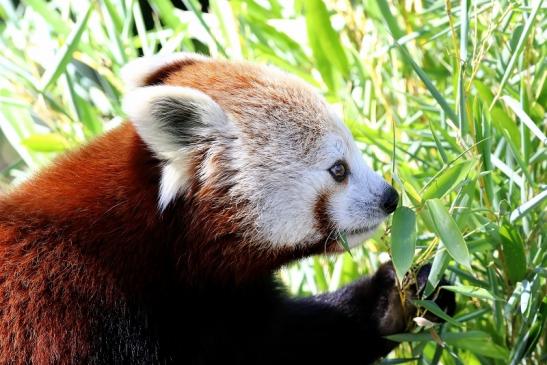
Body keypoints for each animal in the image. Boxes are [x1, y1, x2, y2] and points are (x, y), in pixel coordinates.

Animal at [0, 52, 454, 362]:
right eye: (338, 169)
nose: (390, 198)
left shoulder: (219, 308)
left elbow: (284, 339)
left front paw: (398, 297)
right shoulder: (74, 316)